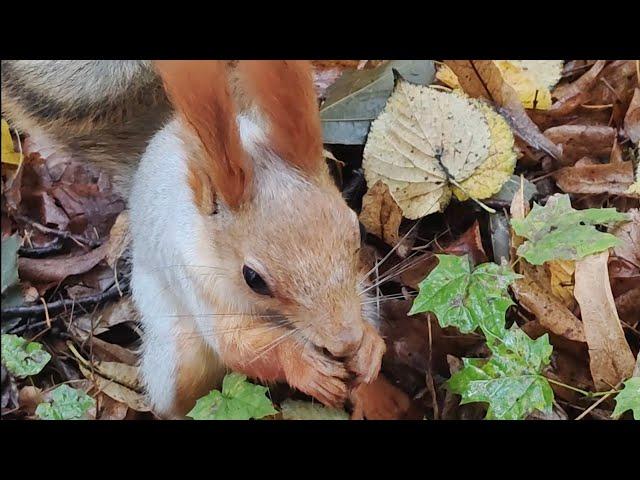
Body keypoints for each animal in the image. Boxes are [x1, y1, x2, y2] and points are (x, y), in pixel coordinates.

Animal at [1, 60, 384, 418]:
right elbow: (238, 345)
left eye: (357, 233)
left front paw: (368, 348)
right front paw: (305, 367)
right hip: (178, 356)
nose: (344, 342)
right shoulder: (197, 279)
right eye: (253, 279)